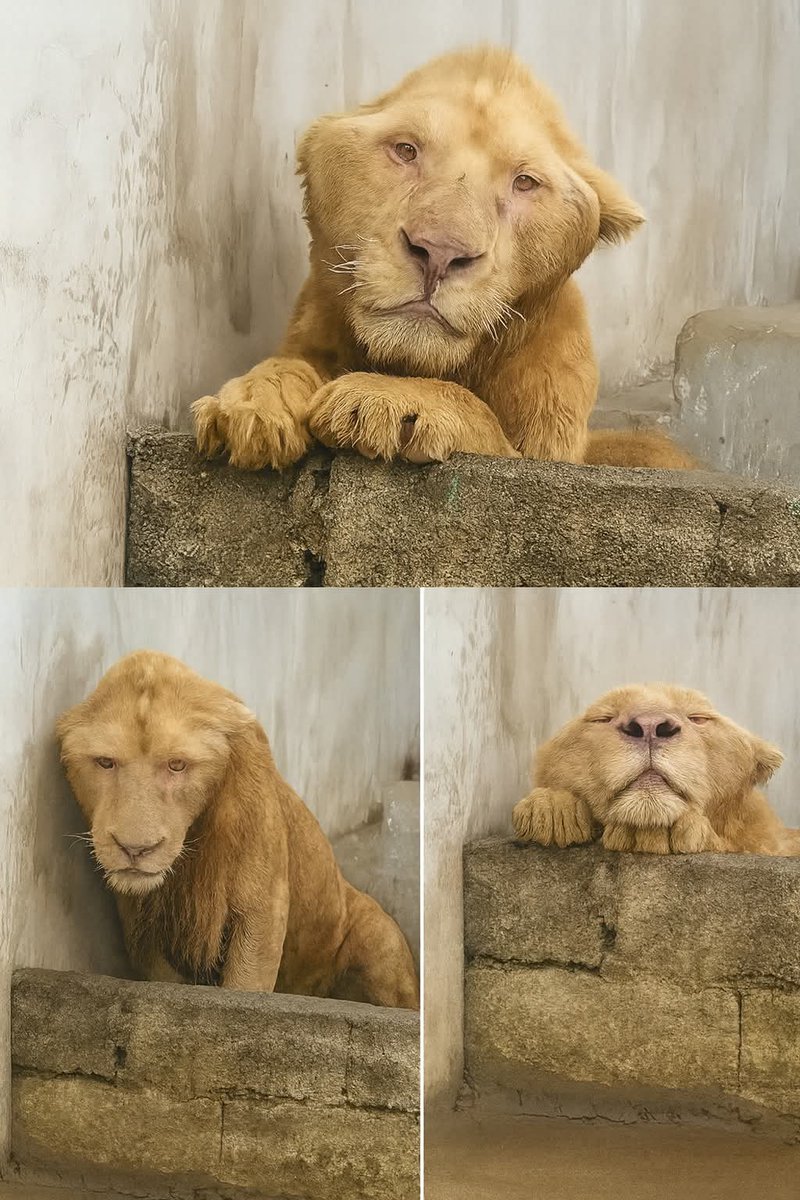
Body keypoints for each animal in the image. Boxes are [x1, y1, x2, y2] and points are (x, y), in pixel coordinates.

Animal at [56, 651, 419, 1008]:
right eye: (105, 762)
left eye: (177, 765)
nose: (135, 849)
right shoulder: (141, 928)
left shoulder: (264, 904)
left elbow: (246, 983)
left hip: (379, 937)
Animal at [192, 45, 694, 472]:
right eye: (405, 149)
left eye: (525, 182)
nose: (440, 253)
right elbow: (283, 366)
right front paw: (251, 402)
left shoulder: (549, 453)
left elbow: (480, 417)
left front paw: (384, 401)